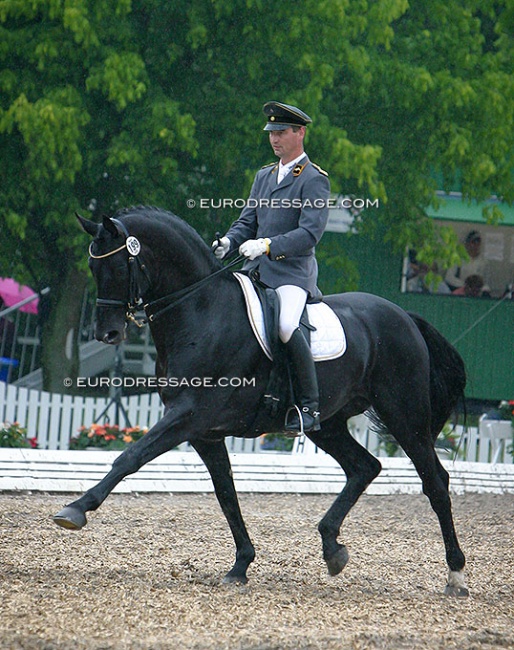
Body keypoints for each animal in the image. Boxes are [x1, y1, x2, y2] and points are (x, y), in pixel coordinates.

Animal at [54, 205, 466, 596]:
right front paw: (241, 565)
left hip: (405, 418)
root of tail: (405, 316)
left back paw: (456, 574)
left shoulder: (188, 415)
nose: (107, 334)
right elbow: (226, 494)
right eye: (93, 266)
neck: (202, 311)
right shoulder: (204, 433)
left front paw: (75, 509)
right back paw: (332, 547)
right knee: (364, 467)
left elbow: (130, 457)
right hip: (328, 424)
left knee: (435, 482)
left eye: (118, 264)